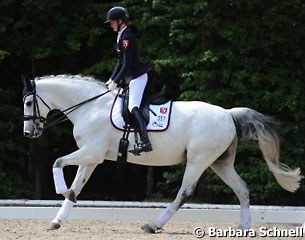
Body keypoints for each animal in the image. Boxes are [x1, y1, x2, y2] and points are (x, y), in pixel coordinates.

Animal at [22, 74, 300, 232]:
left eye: (28, 102)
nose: (28, 133)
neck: (91, 106)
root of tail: (228, 114)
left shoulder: (92, 152)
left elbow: (58, 162)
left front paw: (60, 190)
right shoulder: (91, 156)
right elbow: (77, 186)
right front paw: (57, 221)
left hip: (198, 160)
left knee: (184, 193)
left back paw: (153, 225)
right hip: (220, 163)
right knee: (242, 189)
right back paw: (243, 226)